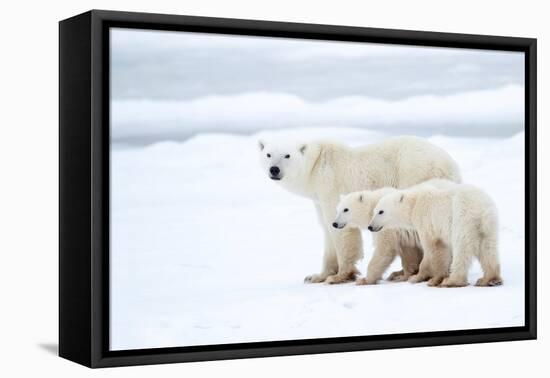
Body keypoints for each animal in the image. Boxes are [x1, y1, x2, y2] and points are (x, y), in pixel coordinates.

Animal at [258, 136, 462, 284]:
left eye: (287, 155)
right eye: (268, 154)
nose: (274, 170)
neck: (316, 166)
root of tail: (451, 164)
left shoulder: (330, 185)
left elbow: (341, 230)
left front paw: (340, 276)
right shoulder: (318, 198)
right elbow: (327, 228)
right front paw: (316, 276)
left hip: (415, 173)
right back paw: (400, 272)